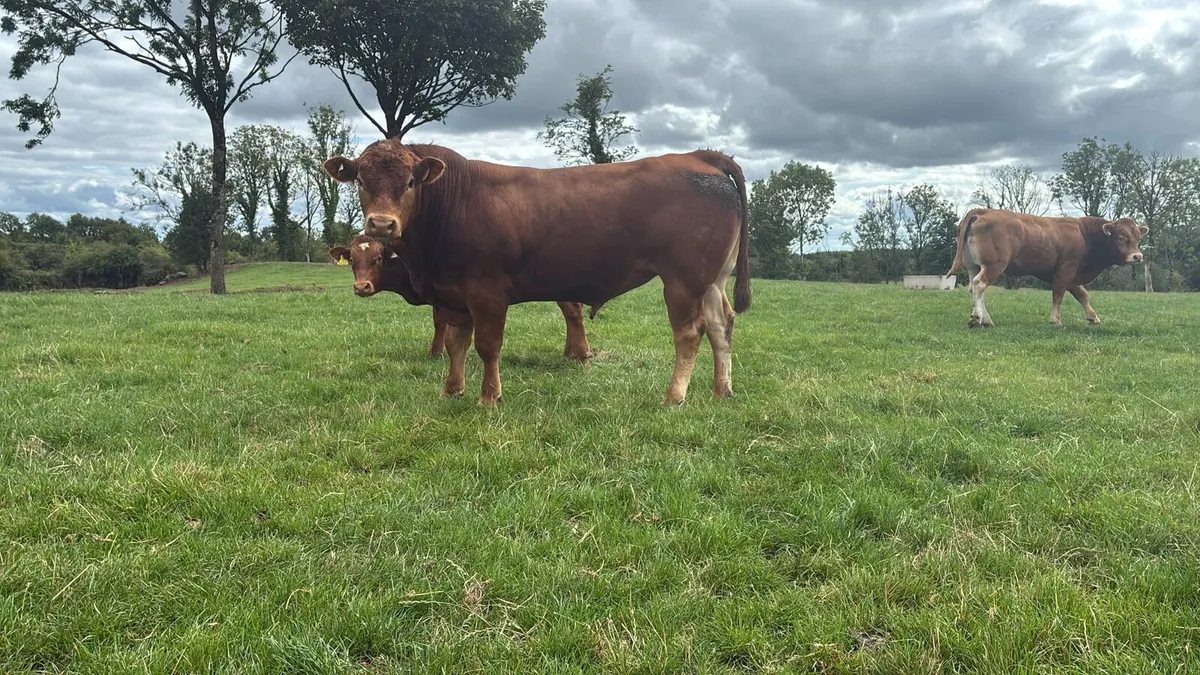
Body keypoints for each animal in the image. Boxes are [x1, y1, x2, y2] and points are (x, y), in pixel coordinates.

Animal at [329, 234, 594, 361]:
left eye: (377, 258)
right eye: (352, 260)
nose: (361, 286)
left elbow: (440, 323)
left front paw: (436, 352)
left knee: (572, 310)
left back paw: (580, 354)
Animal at [946, 207, 1148, 328]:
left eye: (1138, 237)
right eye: (1121, 237)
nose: (1137, 256)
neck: (1085, 235)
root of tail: (982, 211)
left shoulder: (1072, 274)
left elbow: (1082, 295)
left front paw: (1093, 316)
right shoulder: (1066, 269)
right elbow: (1058, 294)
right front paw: (1055, 319)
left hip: (973, 266)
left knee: (974, 288)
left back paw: (983, 318)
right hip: (993, 265)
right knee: (979, 284)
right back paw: (978, 318)